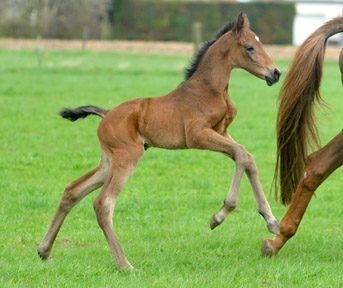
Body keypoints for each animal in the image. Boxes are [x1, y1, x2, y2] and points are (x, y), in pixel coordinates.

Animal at [37, 13, 280, 270]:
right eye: (250, 47)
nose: (275, 73)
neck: (209, 90)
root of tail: (107, 113)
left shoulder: (221, 133)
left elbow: (247, 158)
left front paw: (271, 221)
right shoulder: (198, 135)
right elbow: (242, 154)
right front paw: (220, 215)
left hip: (108, 161)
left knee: (72, 190)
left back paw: (45, 250)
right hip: (128, 156)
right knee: (103, 203)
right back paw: (125, 264)